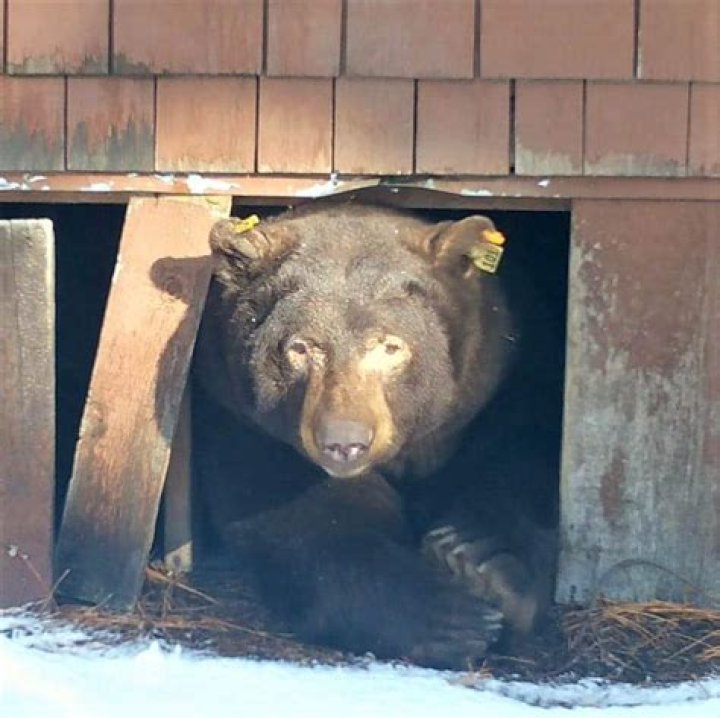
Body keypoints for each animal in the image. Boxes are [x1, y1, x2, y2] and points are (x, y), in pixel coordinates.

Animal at [193, 202, 561, 668]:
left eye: (389, 346)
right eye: (301, 347)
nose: (344, 441)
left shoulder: (500, 385)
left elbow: (517, 465)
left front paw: (479, 563)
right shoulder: (241, 417)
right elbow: (301, 521)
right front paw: (447, 618)